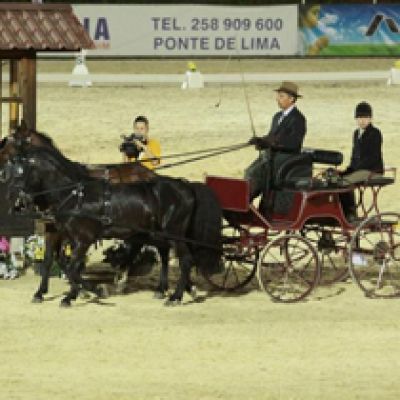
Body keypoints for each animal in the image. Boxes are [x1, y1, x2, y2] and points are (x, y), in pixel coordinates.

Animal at [3, 141, 222, 306]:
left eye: (19, 172)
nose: (13, 200)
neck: (74, 194)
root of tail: (184, 185)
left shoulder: (83, 239)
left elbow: (73, 266)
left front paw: (91, 291)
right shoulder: (62, 233)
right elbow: (59, 262)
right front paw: (61, 293)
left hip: (173, 233)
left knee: (185, 260)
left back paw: (176, 296)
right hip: (157, 233)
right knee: (165, 253)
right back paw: (170, 290)